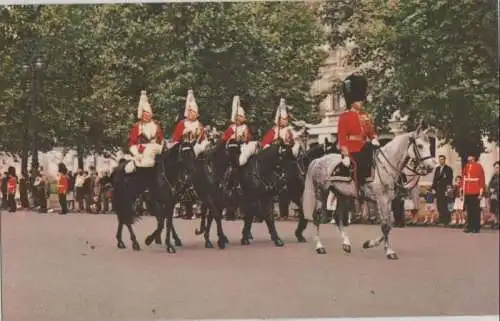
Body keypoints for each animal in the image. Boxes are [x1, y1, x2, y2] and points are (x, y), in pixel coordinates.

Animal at [300, 124, 438, 258]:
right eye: (420, 146)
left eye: (429, 145)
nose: (431, 166)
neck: (385, 166)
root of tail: (319, 160)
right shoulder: (381, 199)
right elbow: (385, 225)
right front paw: (388, 251)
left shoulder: (388, 200)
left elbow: (389, 224)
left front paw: (370, 244)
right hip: (321, 192)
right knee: (317, 216)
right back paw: (319, 246)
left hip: (342, 194)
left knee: (338, 216)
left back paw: (346, 243)